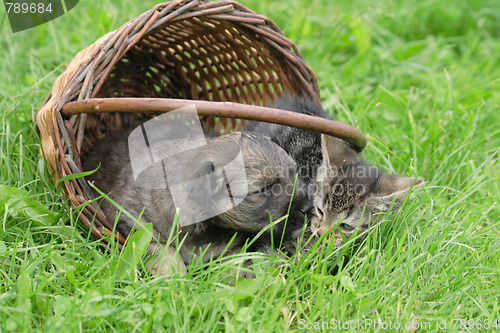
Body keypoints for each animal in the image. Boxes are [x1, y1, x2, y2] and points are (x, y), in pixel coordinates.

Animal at [84, 126, 314, 274]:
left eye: (294, 173)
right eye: (264, 189)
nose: (308, 207)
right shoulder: (133, 220)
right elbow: (163, 250)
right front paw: (174, 279)